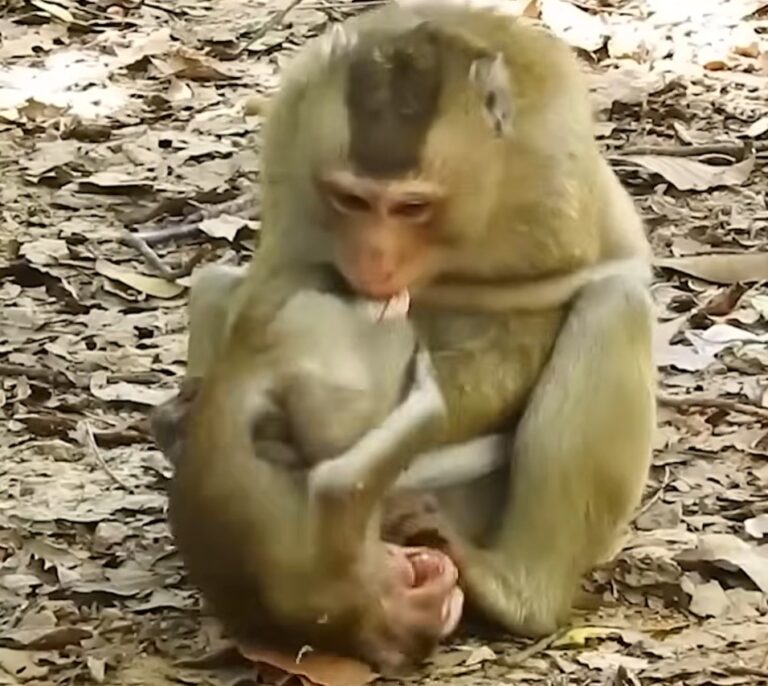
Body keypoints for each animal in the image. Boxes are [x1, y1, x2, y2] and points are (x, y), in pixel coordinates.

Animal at [165, 0, 655, 666]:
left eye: (411, 208)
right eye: (351, 200)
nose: (373, 259)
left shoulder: (550, 178)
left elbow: (550, 300)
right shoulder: (292, 139)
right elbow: (271, 283)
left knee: (614, 305)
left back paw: (519, 593)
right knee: (219, 287)